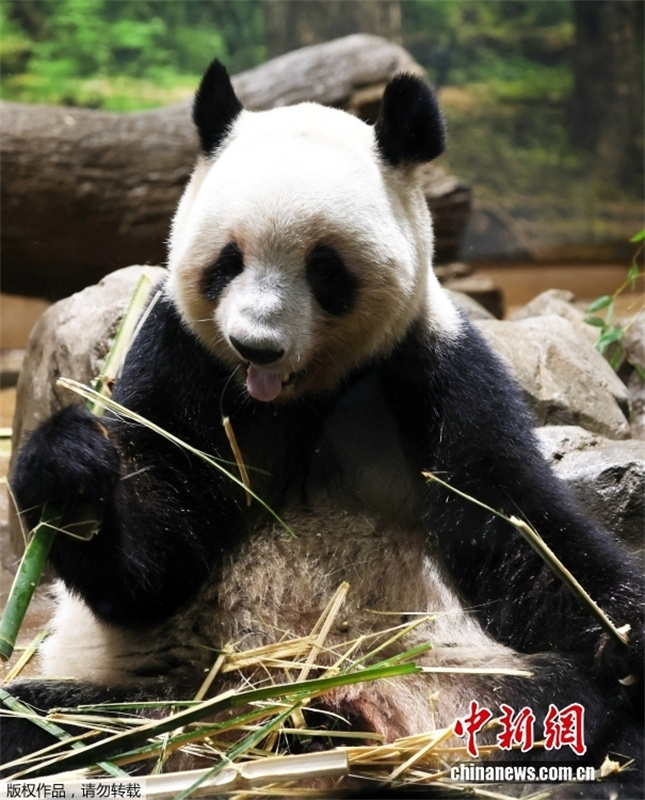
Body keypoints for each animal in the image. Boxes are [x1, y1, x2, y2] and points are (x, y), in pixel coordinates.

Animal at [3, 61, 643, 796]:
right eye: (227, 260)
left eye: (324, 267)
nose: (255, 346)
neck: (300, 399)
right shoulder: (180, 359)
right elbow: (155, 557)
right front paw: (69, 468)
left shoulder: (432, 370)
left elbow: (519, 528)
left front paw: (625, 633)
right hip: (169, 693)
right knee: (52, 726)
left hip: (456, 681)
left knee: (575, 701)